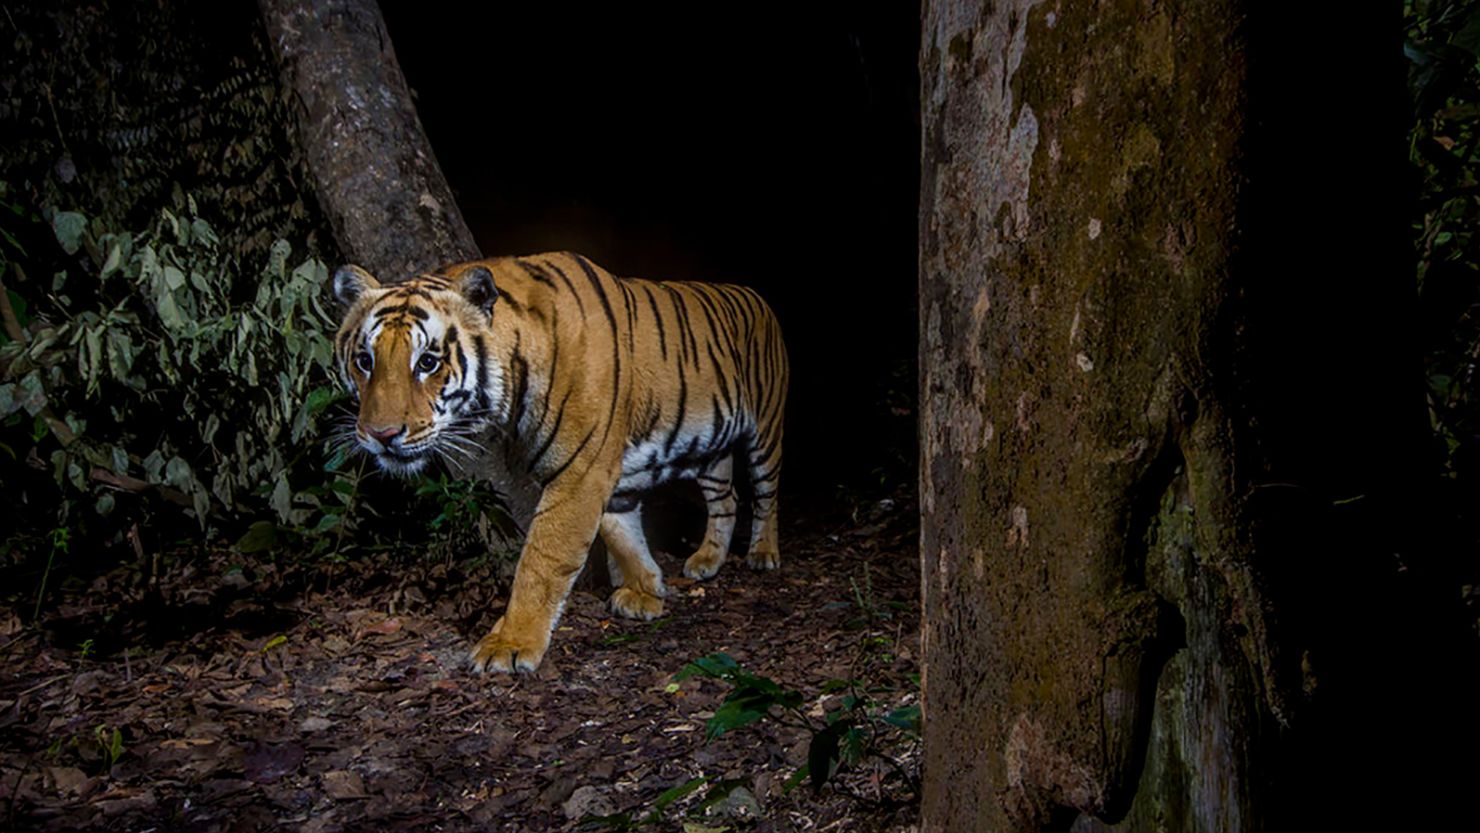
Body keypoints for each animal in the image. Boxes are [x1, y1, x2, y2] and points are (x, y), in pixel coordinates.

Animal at [331, 253, 793, 671]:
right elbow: (621, 532)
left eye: (427, 362)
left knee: (767, 493)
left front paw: (510, 645)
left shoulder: (580, 472)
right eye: (365, 361)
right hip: (710, 449)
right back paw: (707, 561)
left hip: (765, 425)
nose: (380, 435)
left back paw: (763, 553)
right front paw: (646, 590)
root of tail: (756, 295)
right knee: (727, 498)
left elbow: (543, 559)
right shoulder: (606, 473)